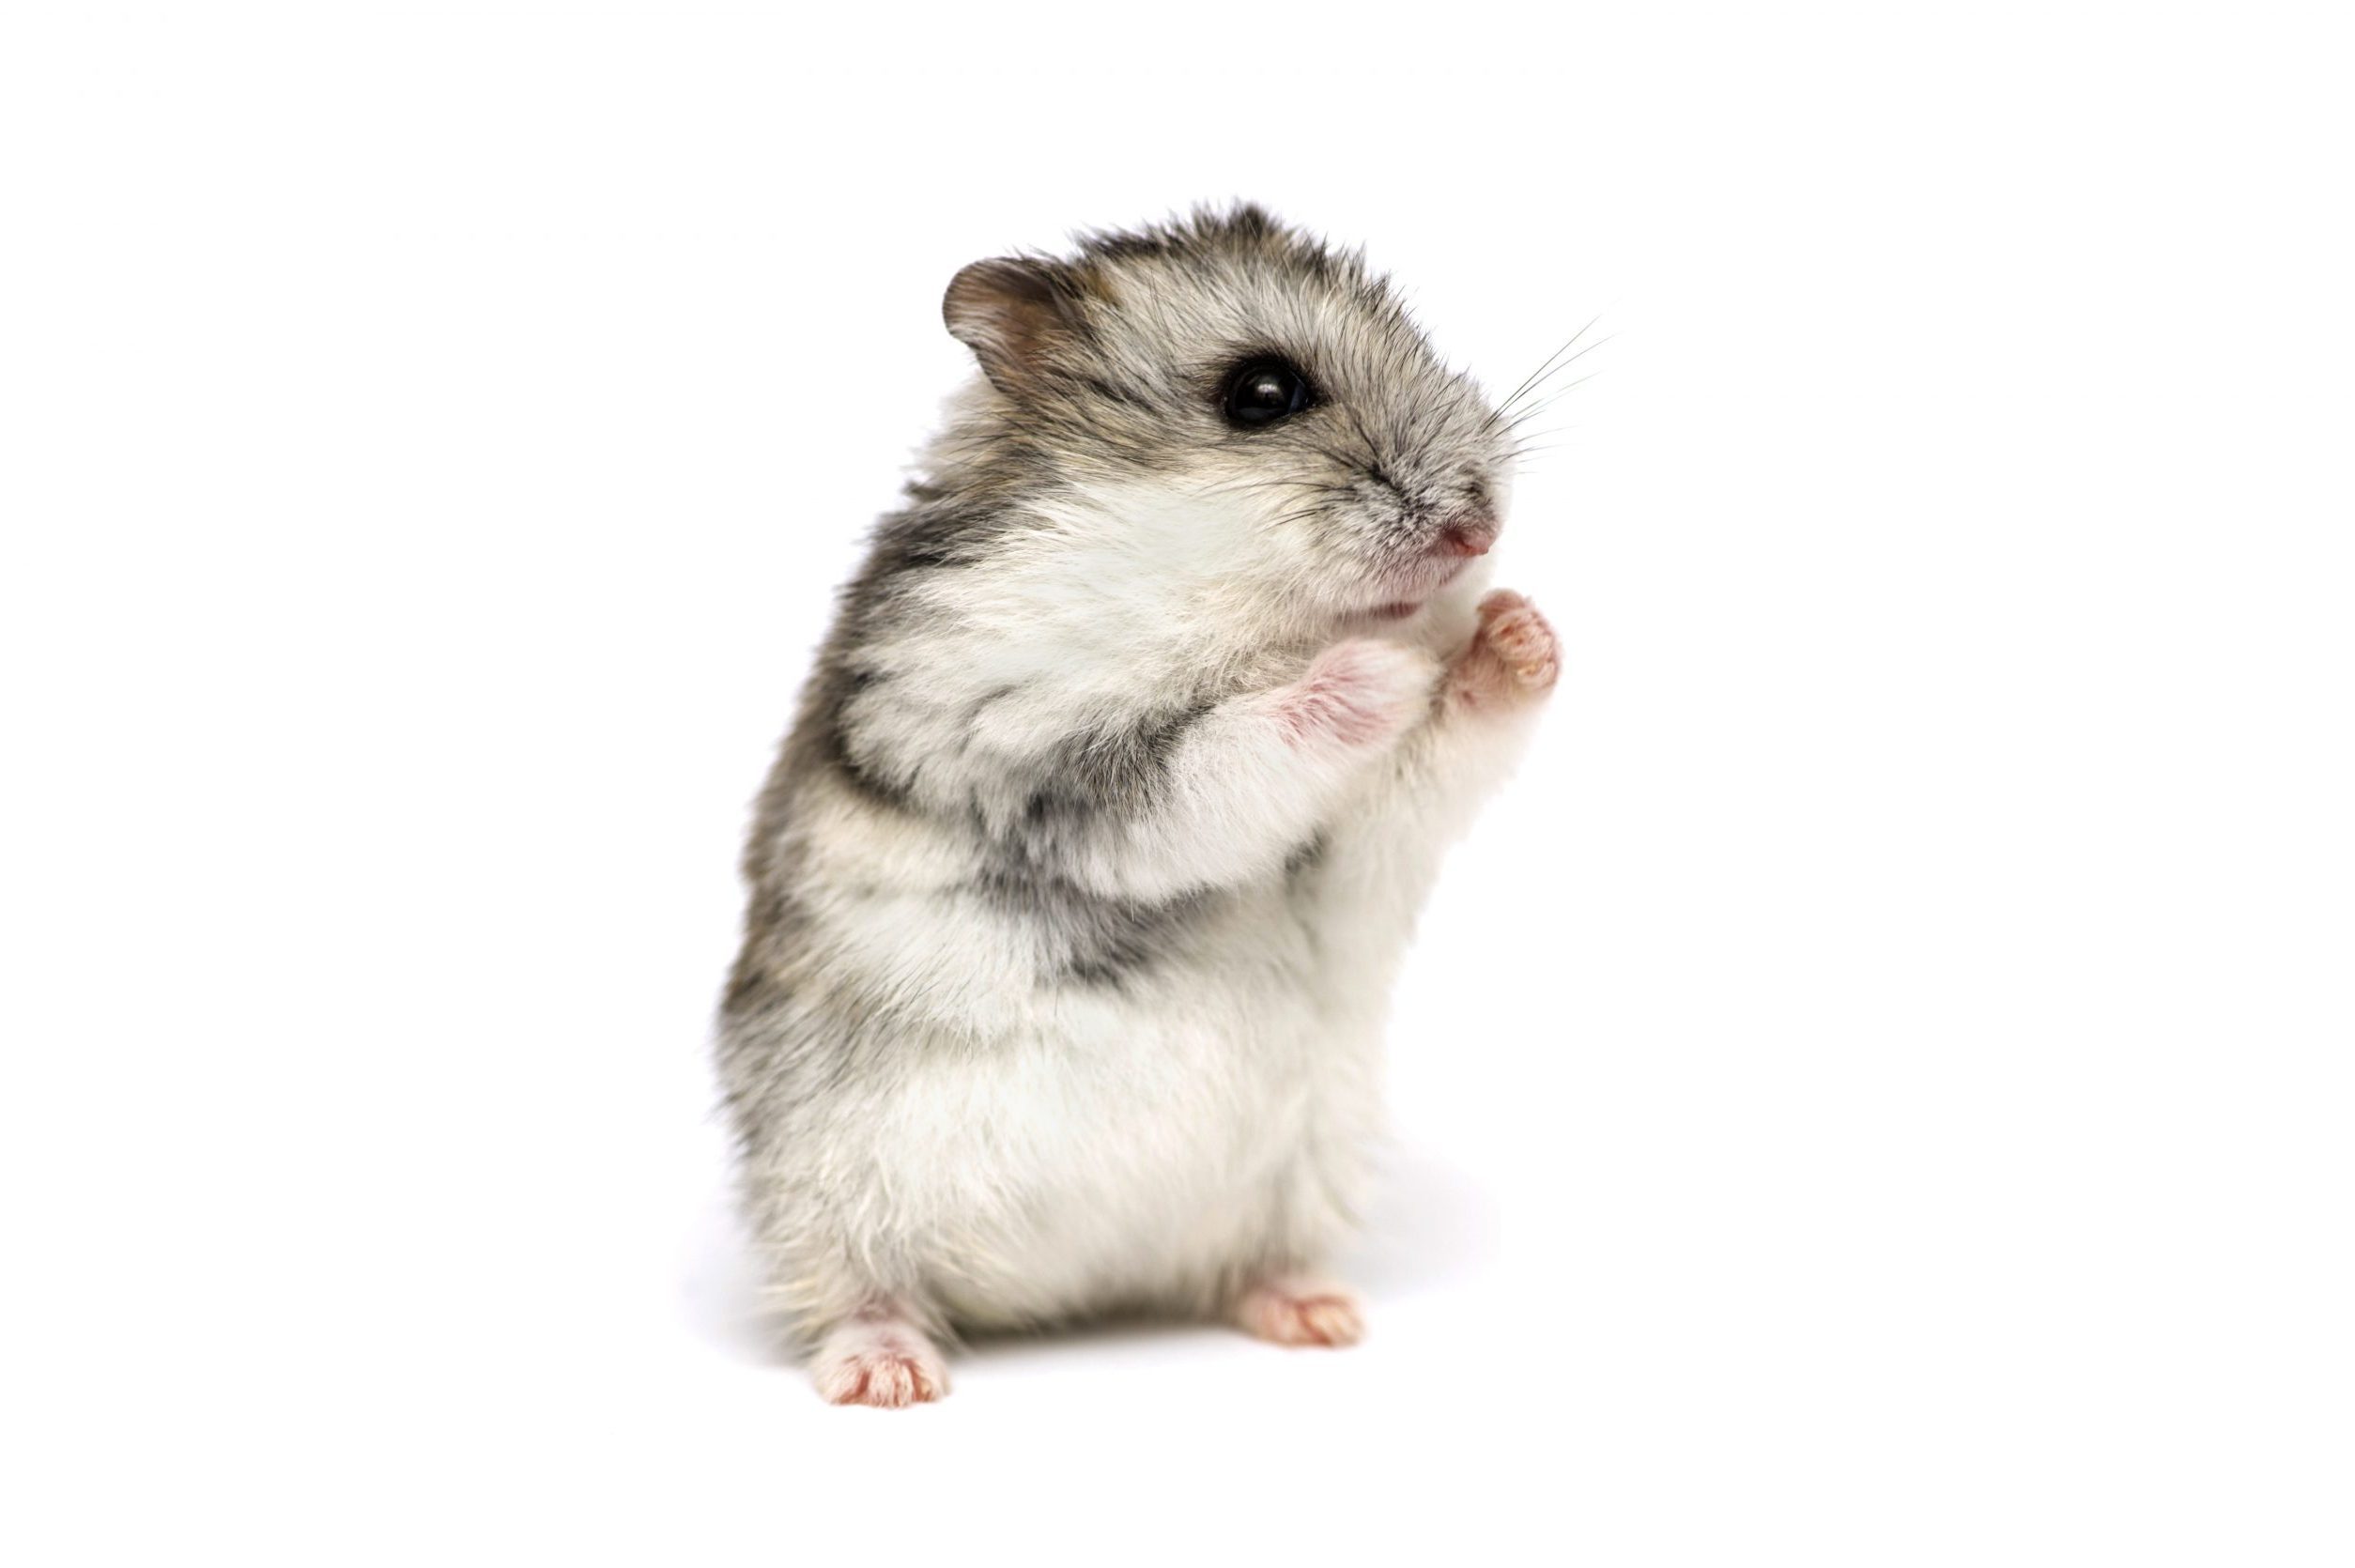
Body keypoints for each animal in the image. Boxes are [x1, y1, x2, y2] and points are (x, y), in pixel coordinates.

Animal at [717, 205, 1561, 1406]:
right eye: (1263, 393)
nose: (1481, 531)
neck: (1225, 602)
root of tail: (1066, 1287)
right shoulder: (1049, 764)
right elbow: (1230, 749)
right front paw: (1381, 670)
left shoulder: (1356, 841)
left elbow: (1435, 753)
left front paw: (1520, 629)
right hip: (825, 1184)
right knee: (854, 1289)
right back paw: (889, 1374)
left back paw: (1318, 1312)